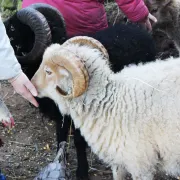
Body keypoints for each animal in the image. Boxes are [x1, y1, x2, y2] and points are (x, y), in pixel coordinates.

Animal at [4, 3, 156, 179]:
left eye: (12, 29)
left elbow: (78, 141)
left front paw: (82, 171)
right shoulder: (61, 114)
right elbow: (60, 134)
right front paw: (60, 158)